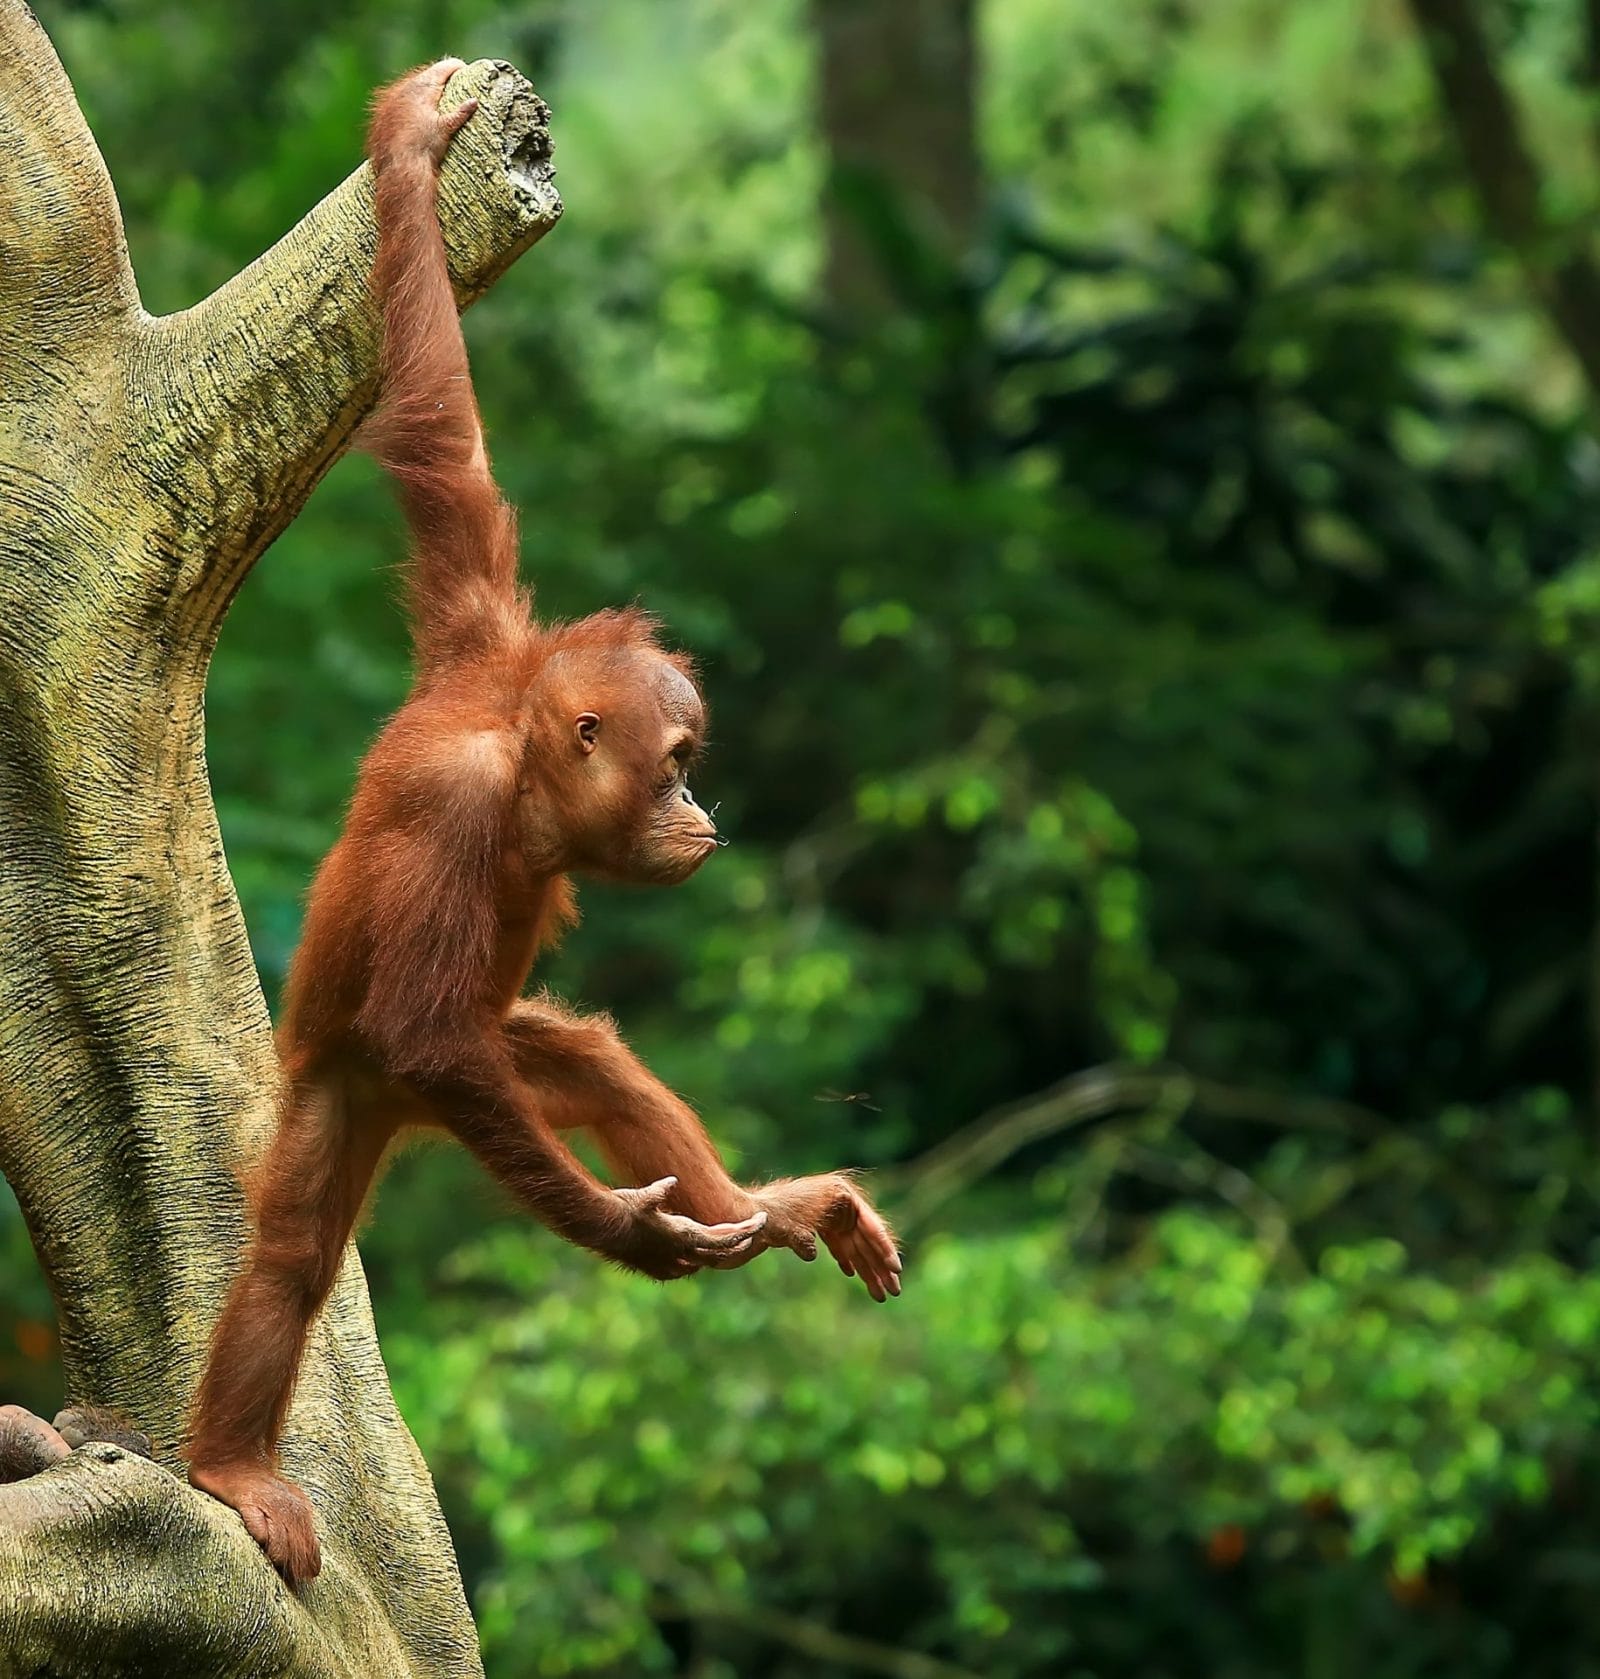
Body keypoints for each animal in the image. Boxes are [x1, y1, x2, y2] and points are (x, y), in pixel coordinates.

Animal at [186, 61, 901, 1585]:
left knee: (581, 1060)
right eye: (678, 761)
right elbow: (417, 1023)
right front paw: (625, 1236)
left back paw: (762, 1204)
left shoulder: (483, 620)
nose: (703, 810)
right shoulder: (450, 816)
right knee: (297, 1245)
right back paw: (229, 1461)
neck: (514, 762)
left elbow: (439, 427)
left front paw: (410, 154)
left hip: (494, 1065)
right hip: (350, 1083)